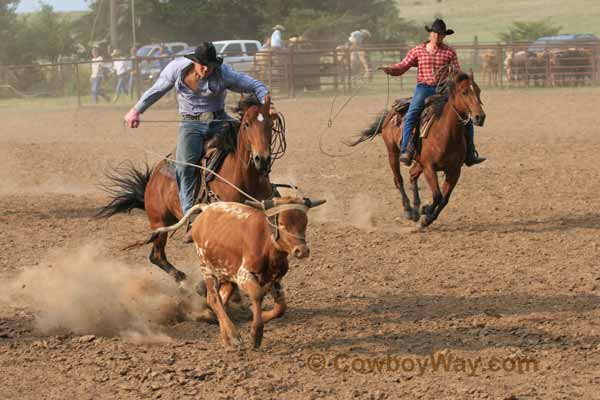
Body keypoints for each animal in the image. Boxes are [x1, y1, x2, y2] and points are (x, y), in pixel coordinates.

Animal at [98, 95, 276, 282]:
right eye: (247, 124)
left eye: (271, 124)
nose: (262, 159)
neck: (244, 177)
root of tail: (152, 180)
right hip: (159, 222)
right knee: (156, 256)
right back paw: (183, 280)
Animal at [350, 70, 486, 227]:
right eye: (464, 92)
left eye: (478, 91)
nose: (480, 117)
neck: (446, 133)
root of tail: (391, 113)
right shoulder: (429, 167)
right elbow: (437, 195)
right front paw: (426, 213)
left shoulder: (454, 171)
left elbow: (444, 199)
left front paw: (427, 217)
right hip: (393, 153)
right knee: (399, 180)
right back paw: (409, 209)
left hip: (419, 162)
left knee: (412, 174)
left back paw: (415, 208)